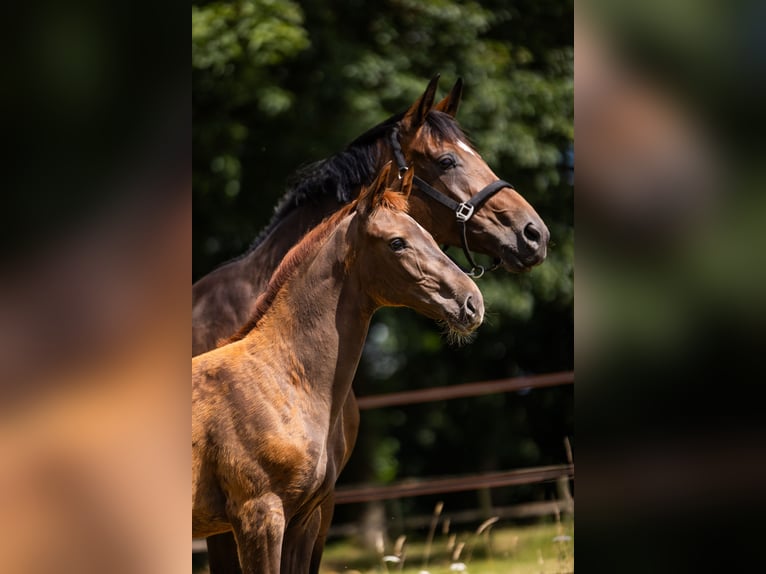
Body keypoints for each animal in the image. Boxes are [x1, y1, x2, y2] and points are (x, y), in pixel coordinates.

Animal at [195, 164, 488, 572]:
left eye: (429, 234)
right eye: (397, 243)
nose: (472, 302)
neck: (281, 380)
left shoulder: (303, 519)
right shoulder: (258, 516)